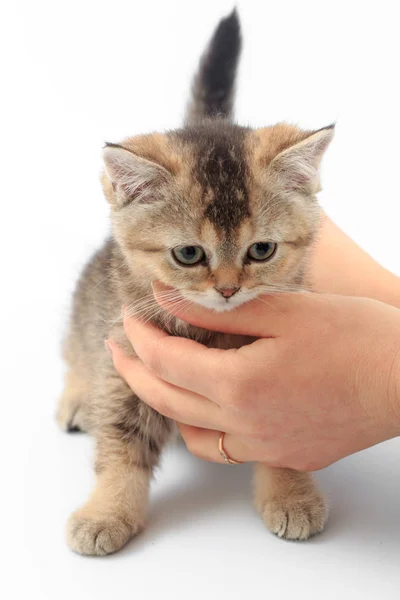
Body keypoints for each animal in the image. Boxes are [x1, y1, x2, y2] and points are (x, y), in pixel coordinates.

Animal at [57, 9, 334, 556]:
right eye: (189, 255)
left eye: (261, 250)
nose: (227, 289)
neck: (213, 331)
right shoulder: (126, 359)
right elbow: (120, 445)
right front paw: (104, 513)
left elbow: (287, 440)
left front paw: (291, 495)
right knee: (77, 348)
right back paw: (77, 397)